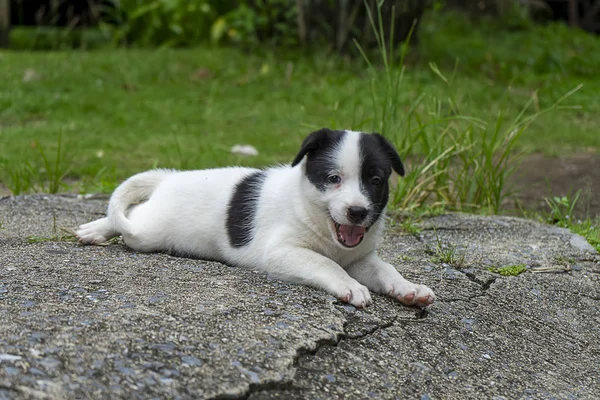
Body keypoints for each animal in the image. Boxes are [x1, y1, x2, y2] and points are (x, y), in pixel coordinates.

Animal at [76, 130, 436, 308]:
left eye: (375, 181)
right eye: (333, 178)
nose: (358, 212)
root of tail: (169, 177)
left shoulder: (360, 258)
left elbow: (385, 269)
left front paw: (409, 288)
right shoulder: (281, 253)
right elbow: (325, 264)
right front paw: (349, 286)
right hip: (148, 232)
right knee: (129, 215)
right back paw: (96, 229)